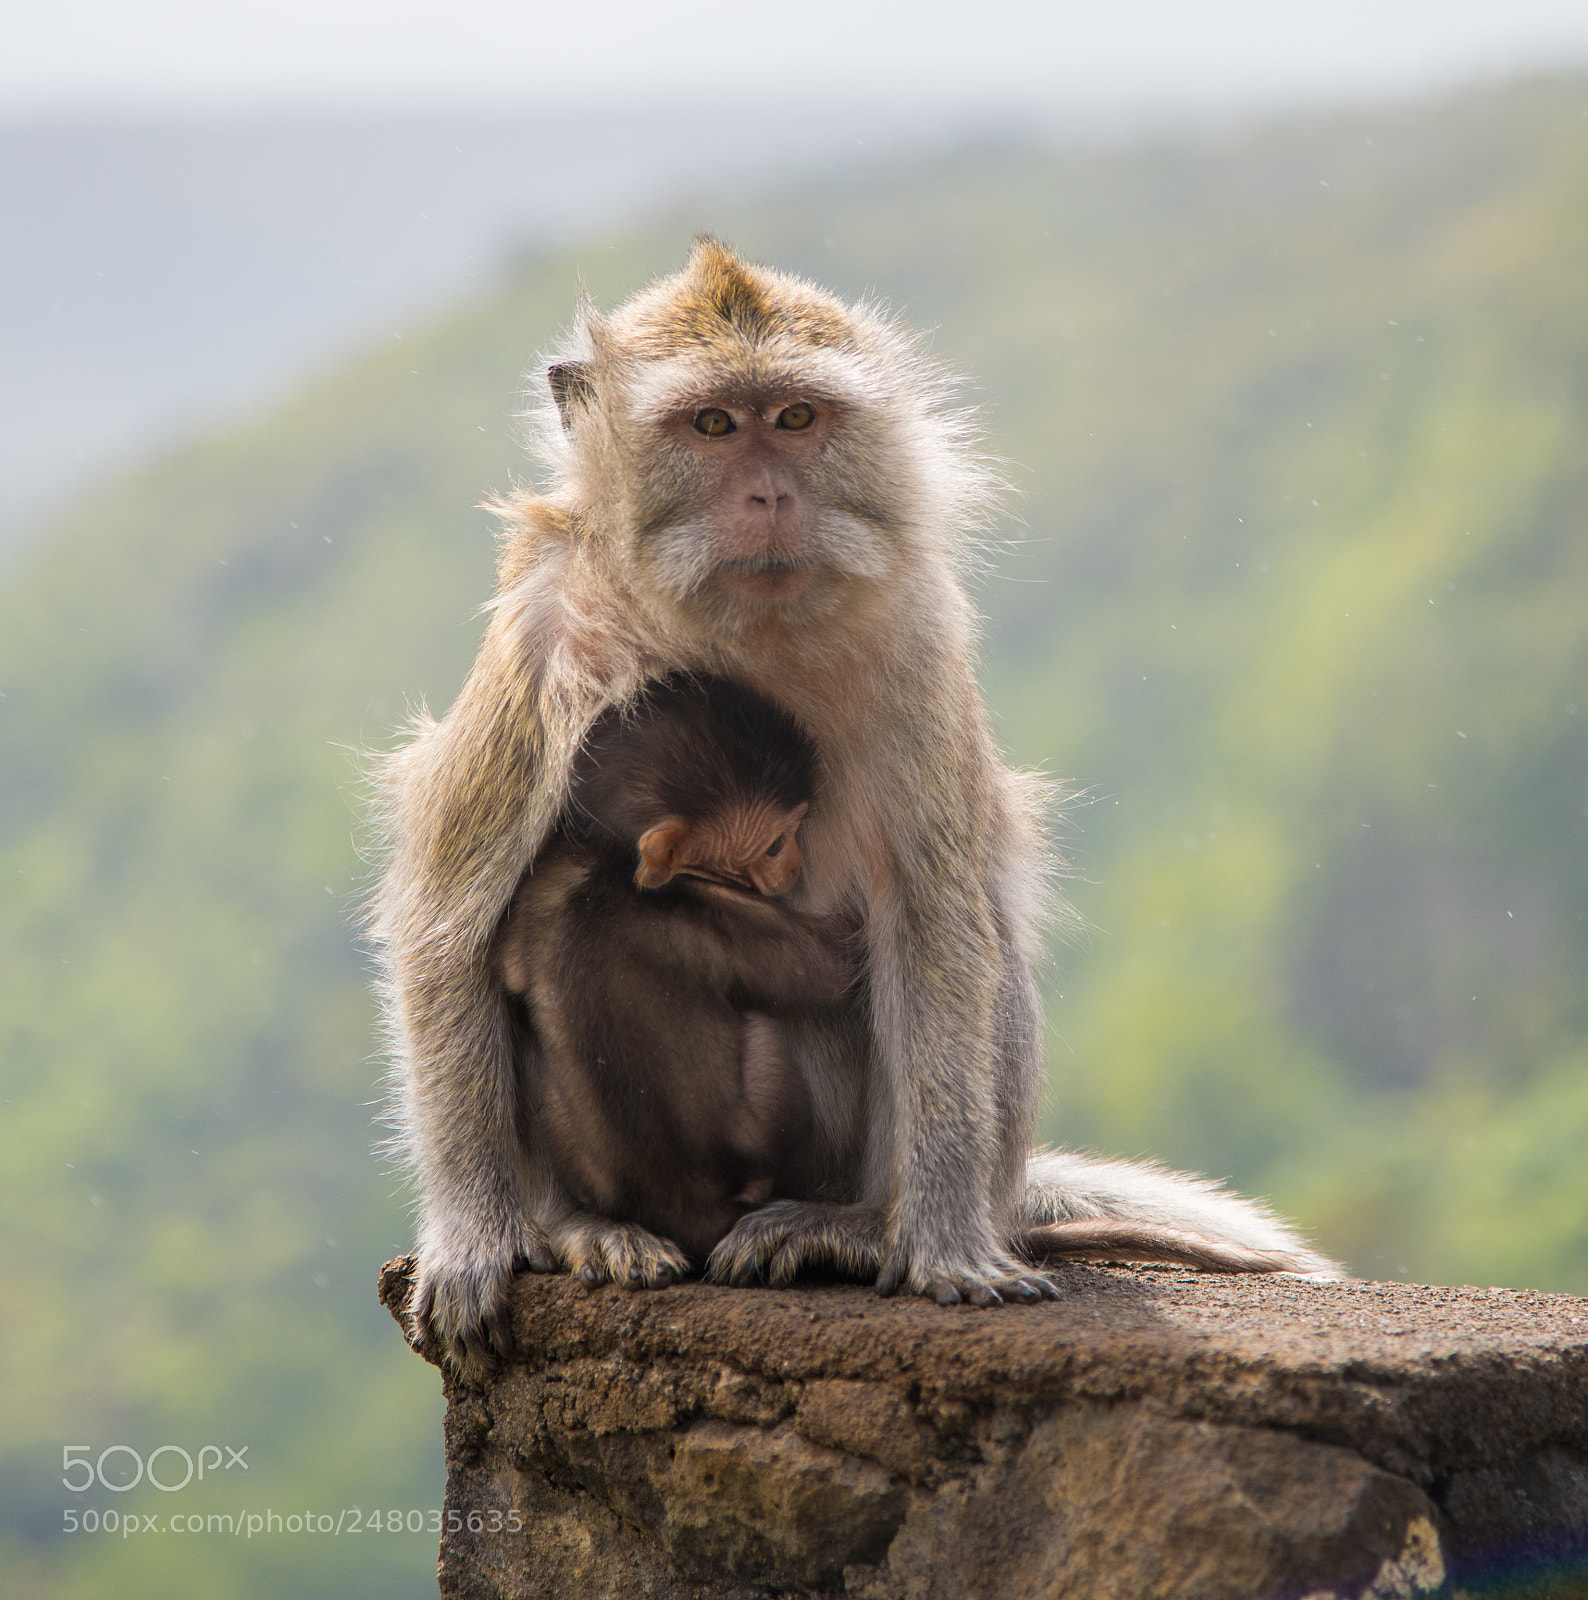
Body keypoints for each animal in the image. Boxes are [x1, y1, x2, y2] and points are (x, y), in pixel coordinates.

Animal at [494, 673, 858, 1266]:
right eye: (775, 845)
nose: (796, 865)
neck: (618, 862)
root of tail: (687, 1211)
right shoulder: (717, 910)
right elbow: (831, 969)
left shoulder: (548, 877)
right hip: (763, 1122)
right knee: (764, 1033)